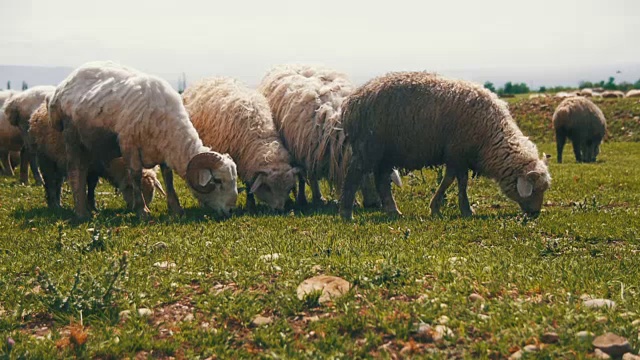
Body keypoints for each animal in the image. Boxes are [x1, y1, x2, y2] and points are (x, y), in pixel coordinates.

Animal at [29, 101, 165, 210]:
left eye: (152, 191)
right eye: (133, 189)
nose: (132, 209)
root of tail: (37, 111)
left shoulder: (95, 168)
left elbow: (92, 187)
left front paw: (92, 206)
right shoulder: (92, 165)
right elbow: (89, 185)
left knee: (57, 182)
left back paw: (58, 203)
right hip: (46, 158)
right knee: (50, 182)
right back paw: (54, 205)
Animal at [47, 61, 238, 218]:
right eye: (218, 181)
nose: (230, 211)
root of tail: (62, 87)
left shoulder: (163, 151)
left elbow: (168, 179)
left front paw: (176, 209)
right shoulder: (128, 145)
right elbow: (136, 176)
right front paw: (142, 210)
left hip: (90, 143)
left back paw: (88, 208)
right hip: (72, 136)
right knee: (75, 170)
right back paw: (81, 212)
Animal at [181, 76, 298, 211]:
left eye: (288, 189)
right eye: (268, 188)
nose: (279, 210)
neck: (258, 130)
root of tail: (212, 77)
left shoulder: (245, 161)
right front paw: (250, 204)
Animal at [338, 71, 552, 219]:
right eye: (535, 189)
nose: (535, 214)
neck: (490, 135)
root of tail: (352, 102)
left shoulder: (456, 155)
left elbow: (451, 180)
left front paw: (439, 207)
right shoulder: (458, 152)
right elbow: (459, 182)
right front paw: (463, 209)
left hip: (386, 152)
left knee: (381, 181)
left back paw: (393, 211)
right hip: (368, 146)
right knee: (353, 176)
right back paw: (346, 213)